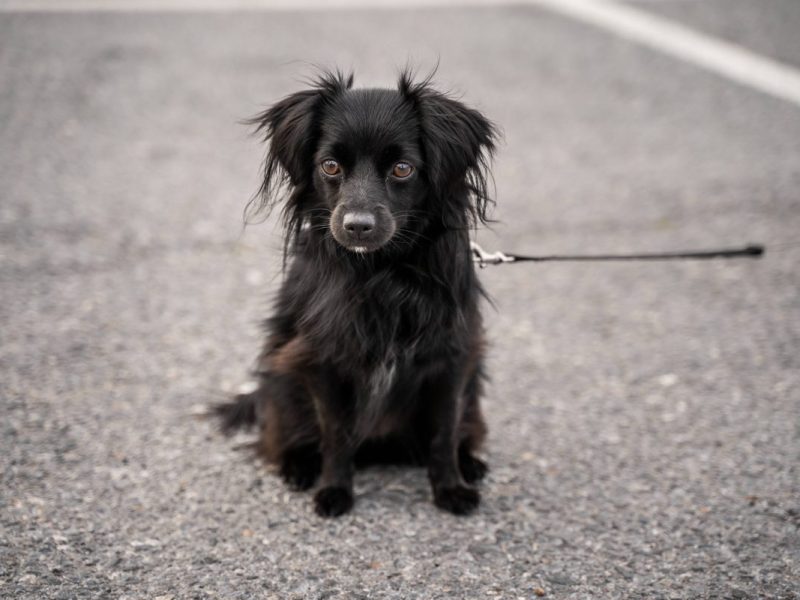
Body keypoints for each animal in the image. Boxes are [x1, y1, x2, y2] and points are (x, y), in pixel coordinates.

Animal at [216, 67, 496, 516]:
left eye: (402, 169)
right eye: (330, 166)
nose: (357, 226)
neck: (381, 271)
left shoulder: (451, 358)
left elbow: (443, 430)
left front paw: (451, 487)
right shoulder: (322, 359)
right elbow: (336, 434)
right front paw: (334, 490)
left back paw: (470, 462)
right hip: (282, 383)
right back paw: (297, 467)